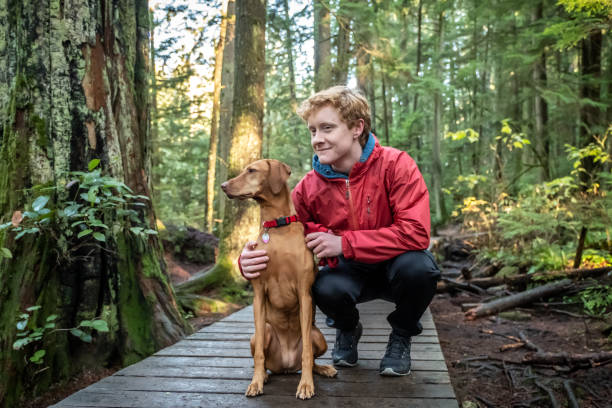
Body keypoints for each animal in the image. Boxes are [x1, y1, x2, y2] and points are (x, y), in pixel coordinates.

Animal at [221, 159, 338, 398]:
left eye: (251, 170)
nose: (223, 185)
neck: (277, 227)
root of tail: (287, 366)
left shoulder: (304, 294)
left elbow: (307, 353)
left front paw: (306, 385)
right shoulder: (258, 295)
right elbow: (258, 355)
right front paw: (256, 382)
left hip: (317, 336)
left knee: (310, 359)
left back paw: (322, 369)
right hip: (262, 334)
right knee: (265, 358)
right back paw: (265, 376)